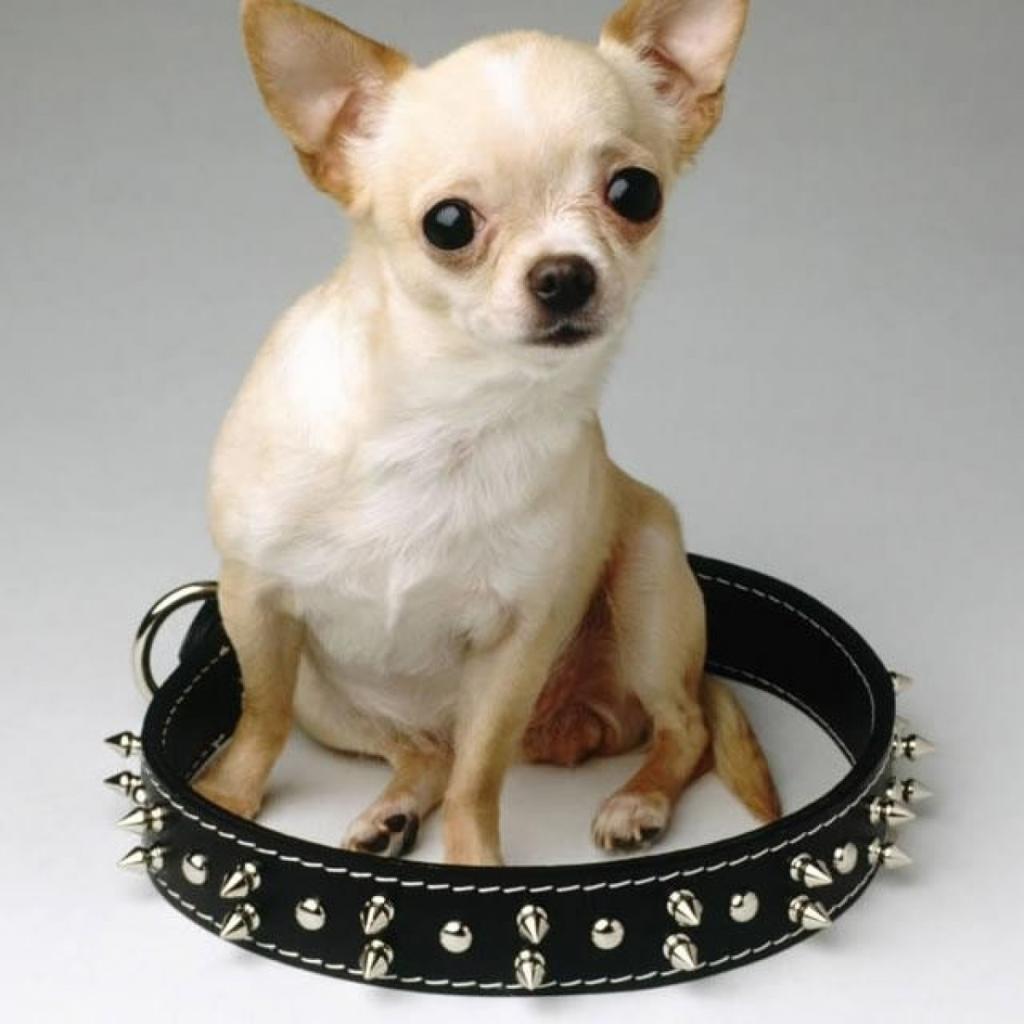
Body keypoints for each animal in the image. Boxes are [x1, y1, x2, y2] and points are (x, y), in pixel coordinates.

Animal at [196, 0, 780, 866]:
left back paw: (637, 799)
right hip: (325, 698)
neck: (447, 414)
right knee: (423, 751)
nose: (565, 273)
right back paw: (394, 811)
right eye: (448, 225)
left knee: (682, 727)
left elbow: (481, 775)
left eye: (635, 193)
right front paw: (224, 801)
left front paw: (476, 871)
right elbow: (259, 722)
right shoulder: (254, 601)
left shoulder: (516, 645)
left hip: (647, 580)